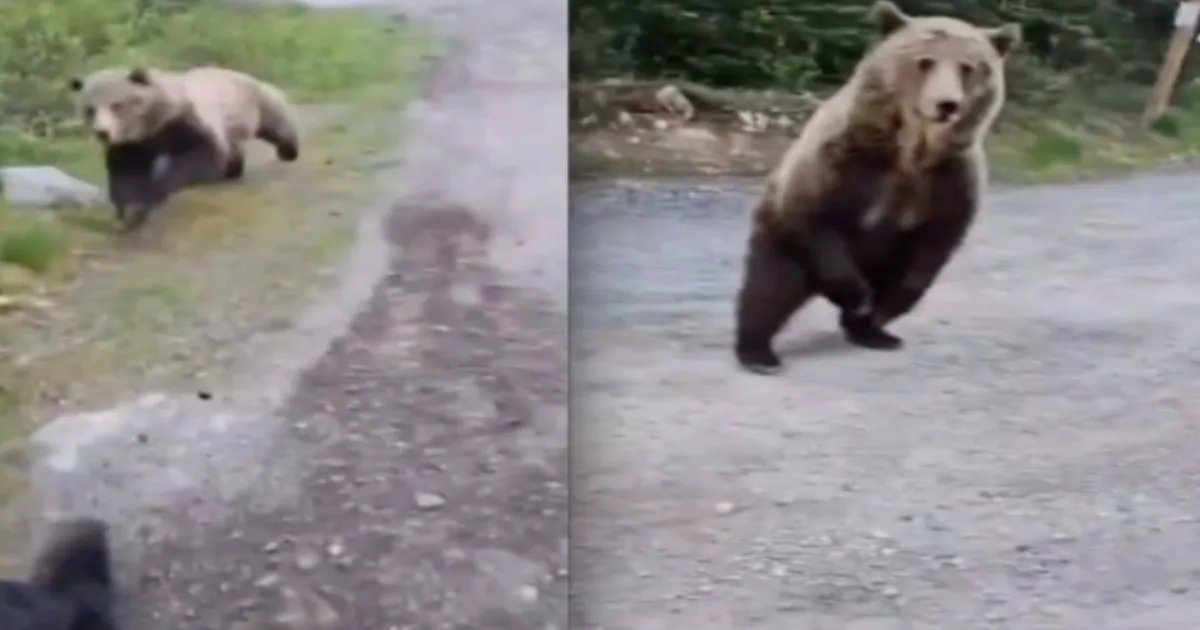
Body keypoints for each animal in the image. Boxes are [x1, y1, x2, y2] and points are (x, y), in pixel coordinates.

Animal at [69, 65, 302, 231]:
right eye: (90, 109)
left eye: (117, 106)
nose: (102, 132)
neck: (152, 123)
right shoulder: (133, 143)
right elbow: (129, 172)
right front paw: (132, 211)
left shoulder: (184, 118)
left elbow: (198, 154)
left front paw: (157, 190)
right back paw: (232, 170)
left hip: (253, 102)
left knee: (276, 124)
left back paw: (288, 151)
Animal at [732, 0, 1021, 375]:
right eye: (925, 61)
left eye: (968, 67)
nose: (947, 104)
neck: (910, 150)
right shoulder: (843, 159)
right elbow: (814, 216)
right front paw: (858, 297)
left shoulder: (950, 178)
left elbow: (936, 244)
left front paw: (881, 309)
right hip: (782, 241)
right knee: (769, 289)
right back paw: (759, 352)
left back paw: (874, 333)